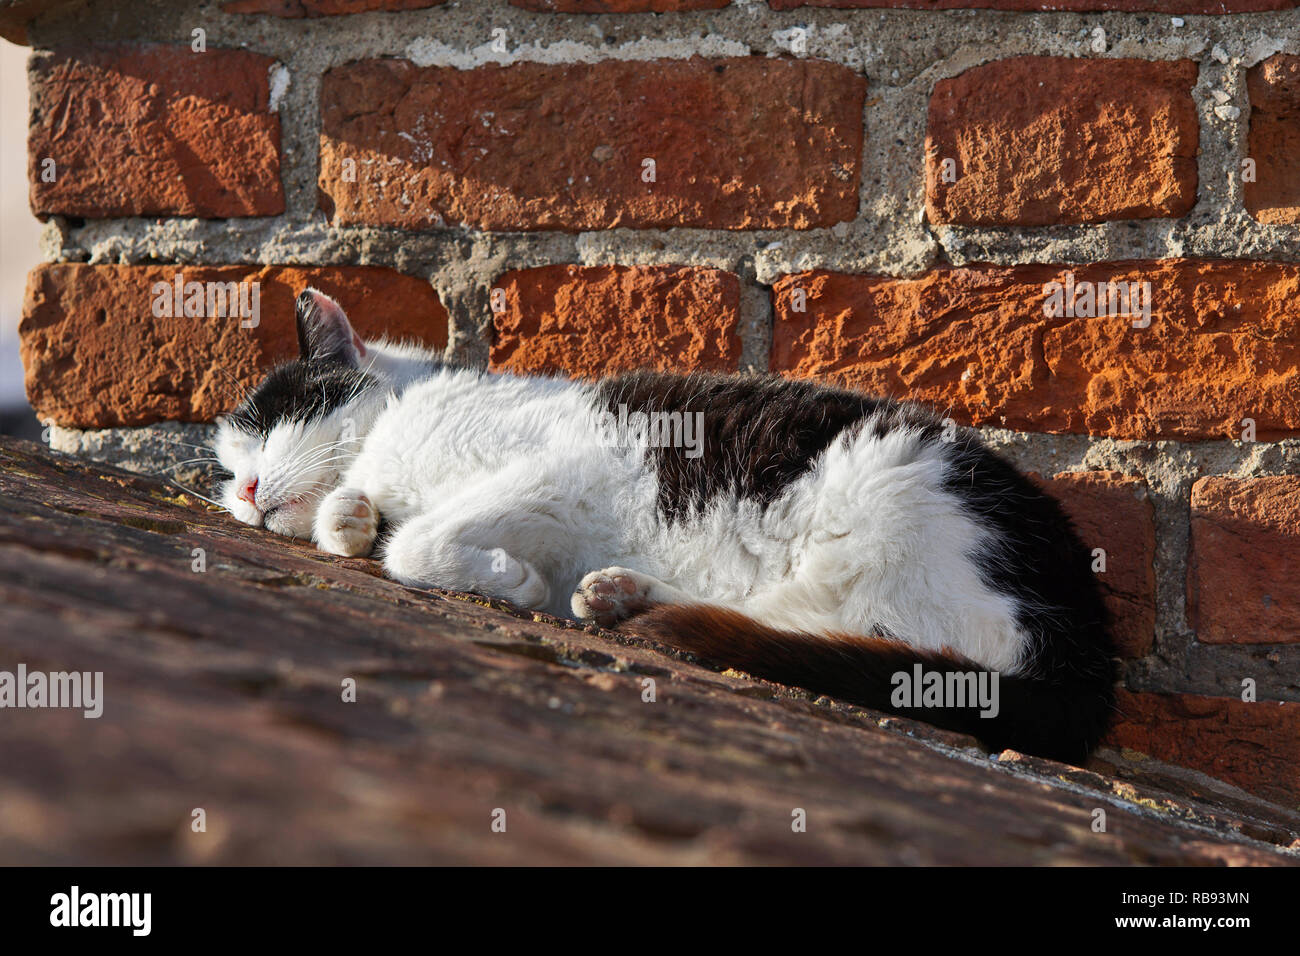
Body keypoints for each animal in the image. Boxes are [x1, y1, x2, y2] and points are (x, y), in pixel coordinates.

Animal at [215, 287, 1118, 764]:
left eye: (270, 423)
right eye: (225, 469)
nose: (246, 488)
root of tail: (1092, 653)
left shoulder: (570, 461)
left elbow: (419, 541)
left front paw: (511, 578)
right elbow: (370, 523)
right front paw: (353, 522)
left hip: (883, 511)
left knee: (831, 632)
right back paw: (618, 595)